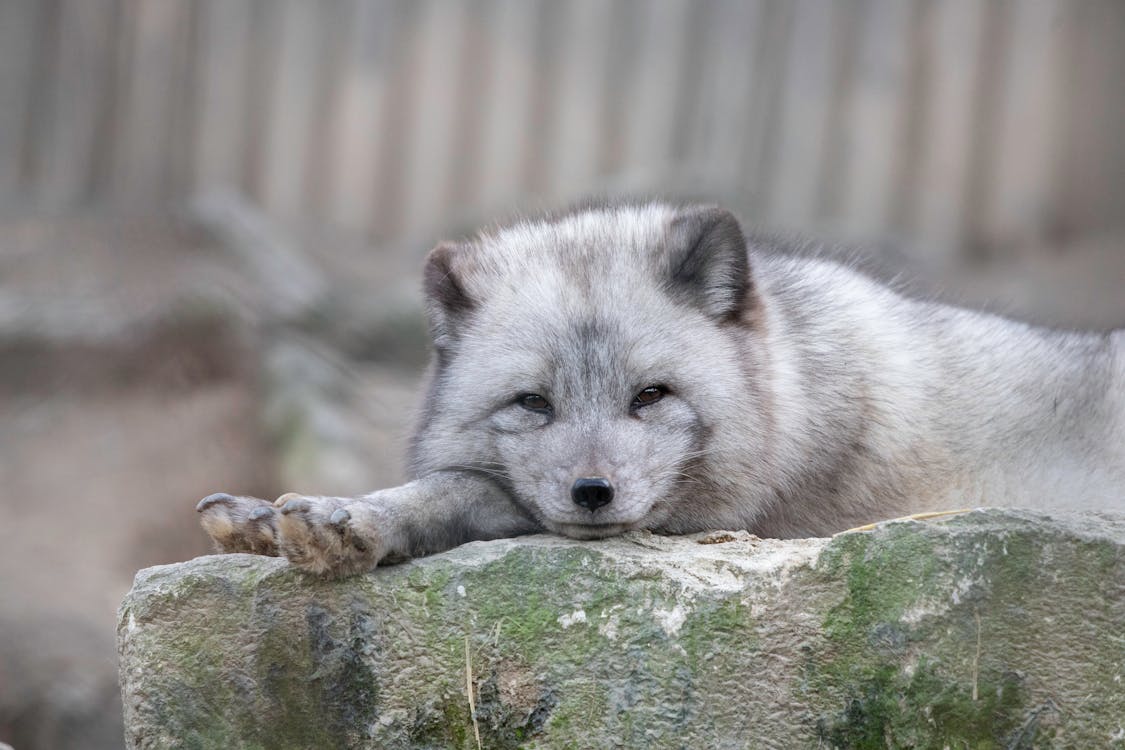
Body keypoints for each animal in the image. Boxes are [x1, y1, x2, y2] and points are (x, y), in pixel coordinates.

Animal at [198, 199, 1120, 575]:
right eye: (532, 402)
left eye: (650, 396)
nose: (592, 493)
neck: (800, 387)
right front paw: (263, 521)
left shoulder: (735, 522)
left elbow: (464, 489)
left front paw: (354, 519)